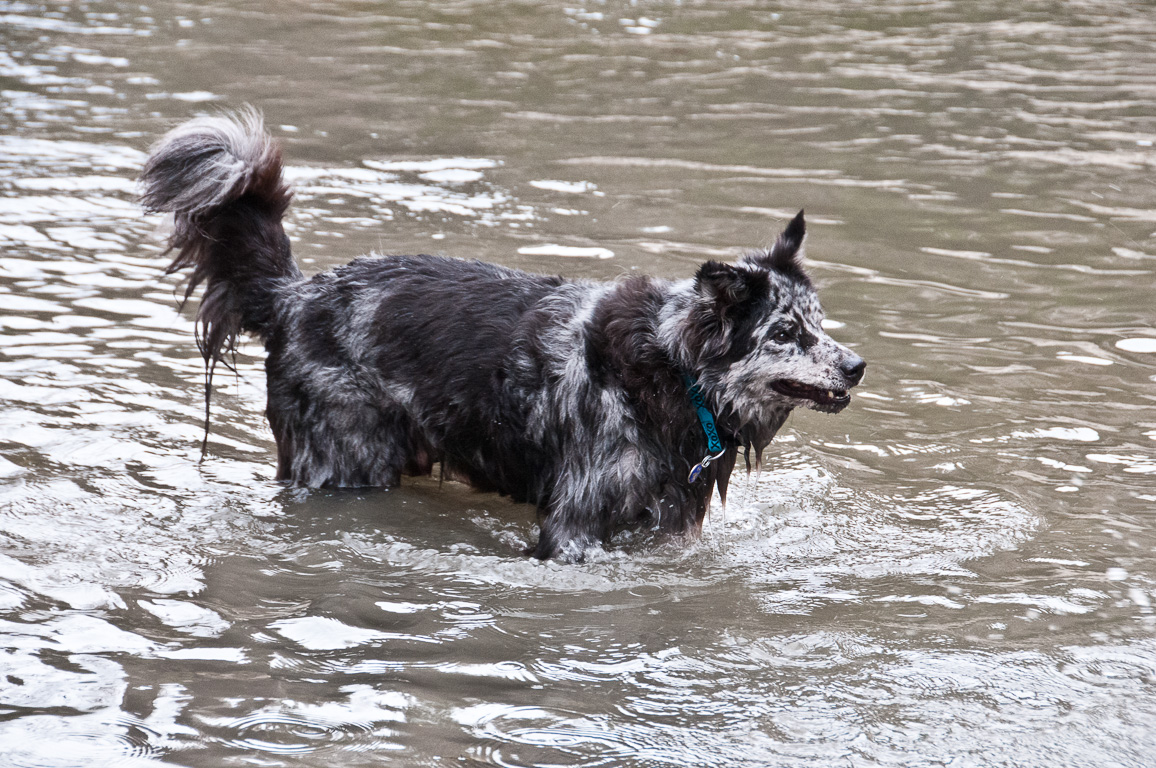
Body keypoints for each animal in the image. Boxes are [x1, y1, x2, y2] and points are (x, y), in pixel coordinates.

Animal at [139, 111, 864, 562]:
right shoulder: (572, 528)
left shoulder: (662, 524)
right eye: (787, 331)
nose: (857, 365)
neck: (673, 372)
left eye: (820, 322)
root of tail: (294, 296)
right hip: (343, 465)